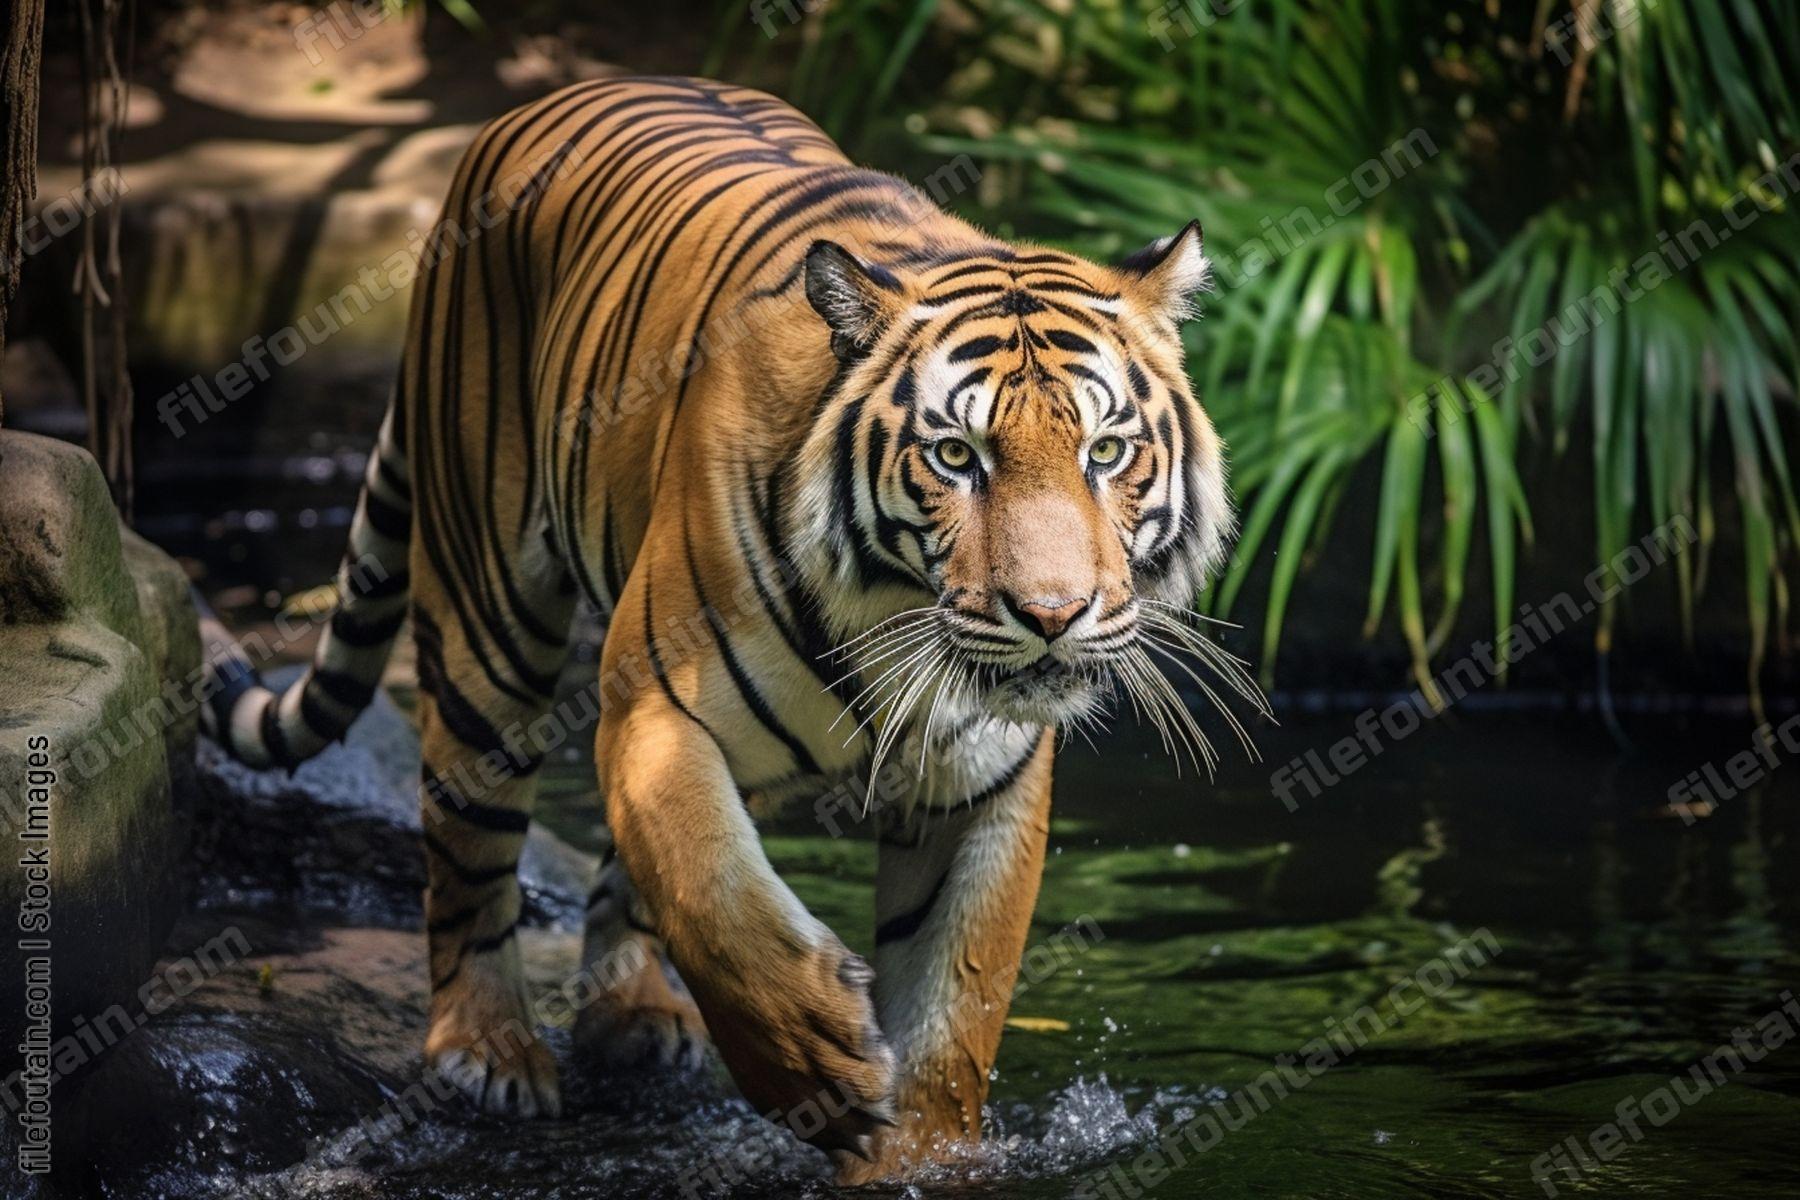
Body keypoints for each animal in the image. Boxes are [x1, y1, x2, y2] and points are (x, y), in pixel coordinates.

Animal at [200, 75, 1237, 1182]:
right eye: (957, 456)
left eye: (1107, 451)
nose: (1051, 616)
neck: (891, 618)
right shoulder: (659, 709)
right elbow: (712, 889)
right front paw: (823, 1069)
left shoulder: (987, 781)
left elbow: (956, 1003)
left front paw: (913, 1156)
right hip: (489, 626)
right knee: (471, 850)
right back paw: (488, 1053)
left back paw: (632, 1017)